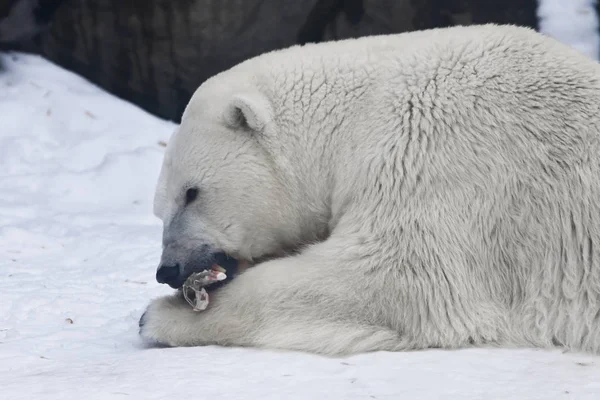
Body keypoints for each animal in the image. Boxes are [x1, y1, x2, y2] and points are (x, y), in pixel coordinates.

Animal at [138, 24, 600, 356]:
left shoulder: (438, 158)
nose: (168, 270)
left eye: (191, 193)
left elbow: (391, 280)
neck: (354, 118)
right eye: (159, 207)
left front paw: (158, 316)